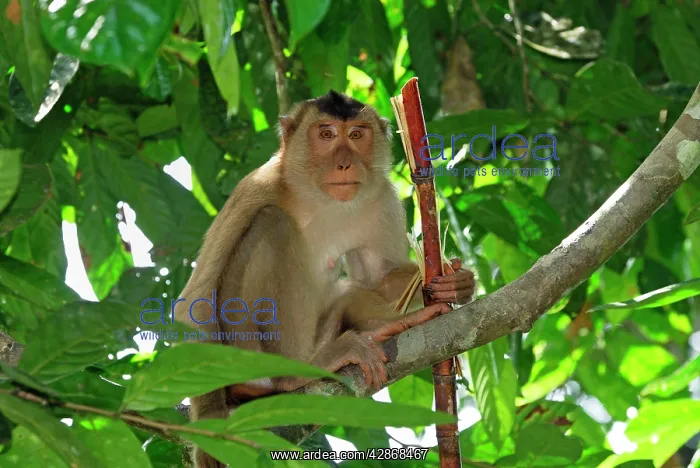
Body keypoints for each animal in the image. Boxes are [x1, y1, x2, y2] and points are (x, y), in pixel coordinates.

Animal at [173, 90, 476, 468]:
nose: (344, 164)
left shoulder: (381, 198)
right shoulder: (255, 188)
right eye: (327, 134)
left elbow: (378, 276)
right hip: (248, 351)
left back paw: (386, 328)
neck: (319, 200)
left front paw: (457, 282)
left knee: (349, 293)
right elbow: (195, 302)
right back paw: (291, 376)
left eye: (357, 135)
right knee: (272, 224)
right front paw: (209, 431)